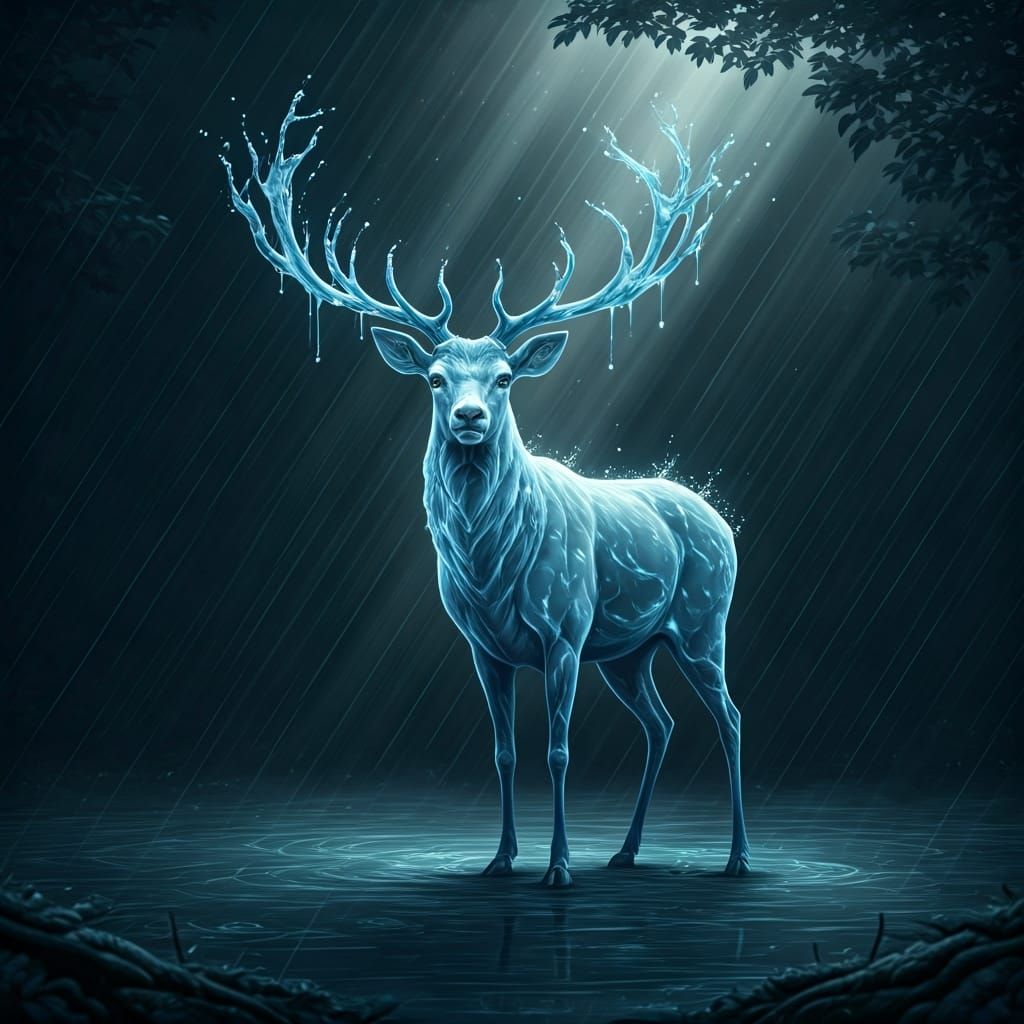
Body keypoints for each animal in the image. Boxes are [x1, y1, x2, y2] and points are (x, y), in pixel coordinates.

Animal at [222, 92, 750, 886]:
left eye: (503, 379)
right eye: (437, 379)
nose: (469, 418)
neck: (490, 568)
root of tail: (720, 520)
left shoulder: (564, 631)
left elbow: (558, 751)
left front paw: (558, 868)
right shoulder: (483, 646)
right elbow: (502, 753)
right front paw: (501, 859)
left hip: (700, 621)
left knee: (731, 718)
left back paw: (738, 857)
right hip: (630, 649)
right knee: (660, 724)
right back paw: (626, 851)